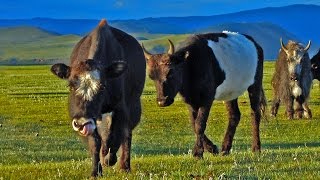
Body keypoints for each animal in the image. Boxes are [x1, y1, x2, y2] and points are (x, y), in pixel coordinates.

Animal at [50, 19, 146, 177]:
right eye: (71, 86)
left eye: (102, 87)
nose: (81, 123)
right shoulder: (91, 116)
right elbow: (95, 142)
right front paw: (95, 172)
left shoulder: (121, 108)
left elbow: (116, 135)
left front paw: (109, 160)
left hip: (133, 106)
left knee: (126, 133)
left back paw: (124, 166)